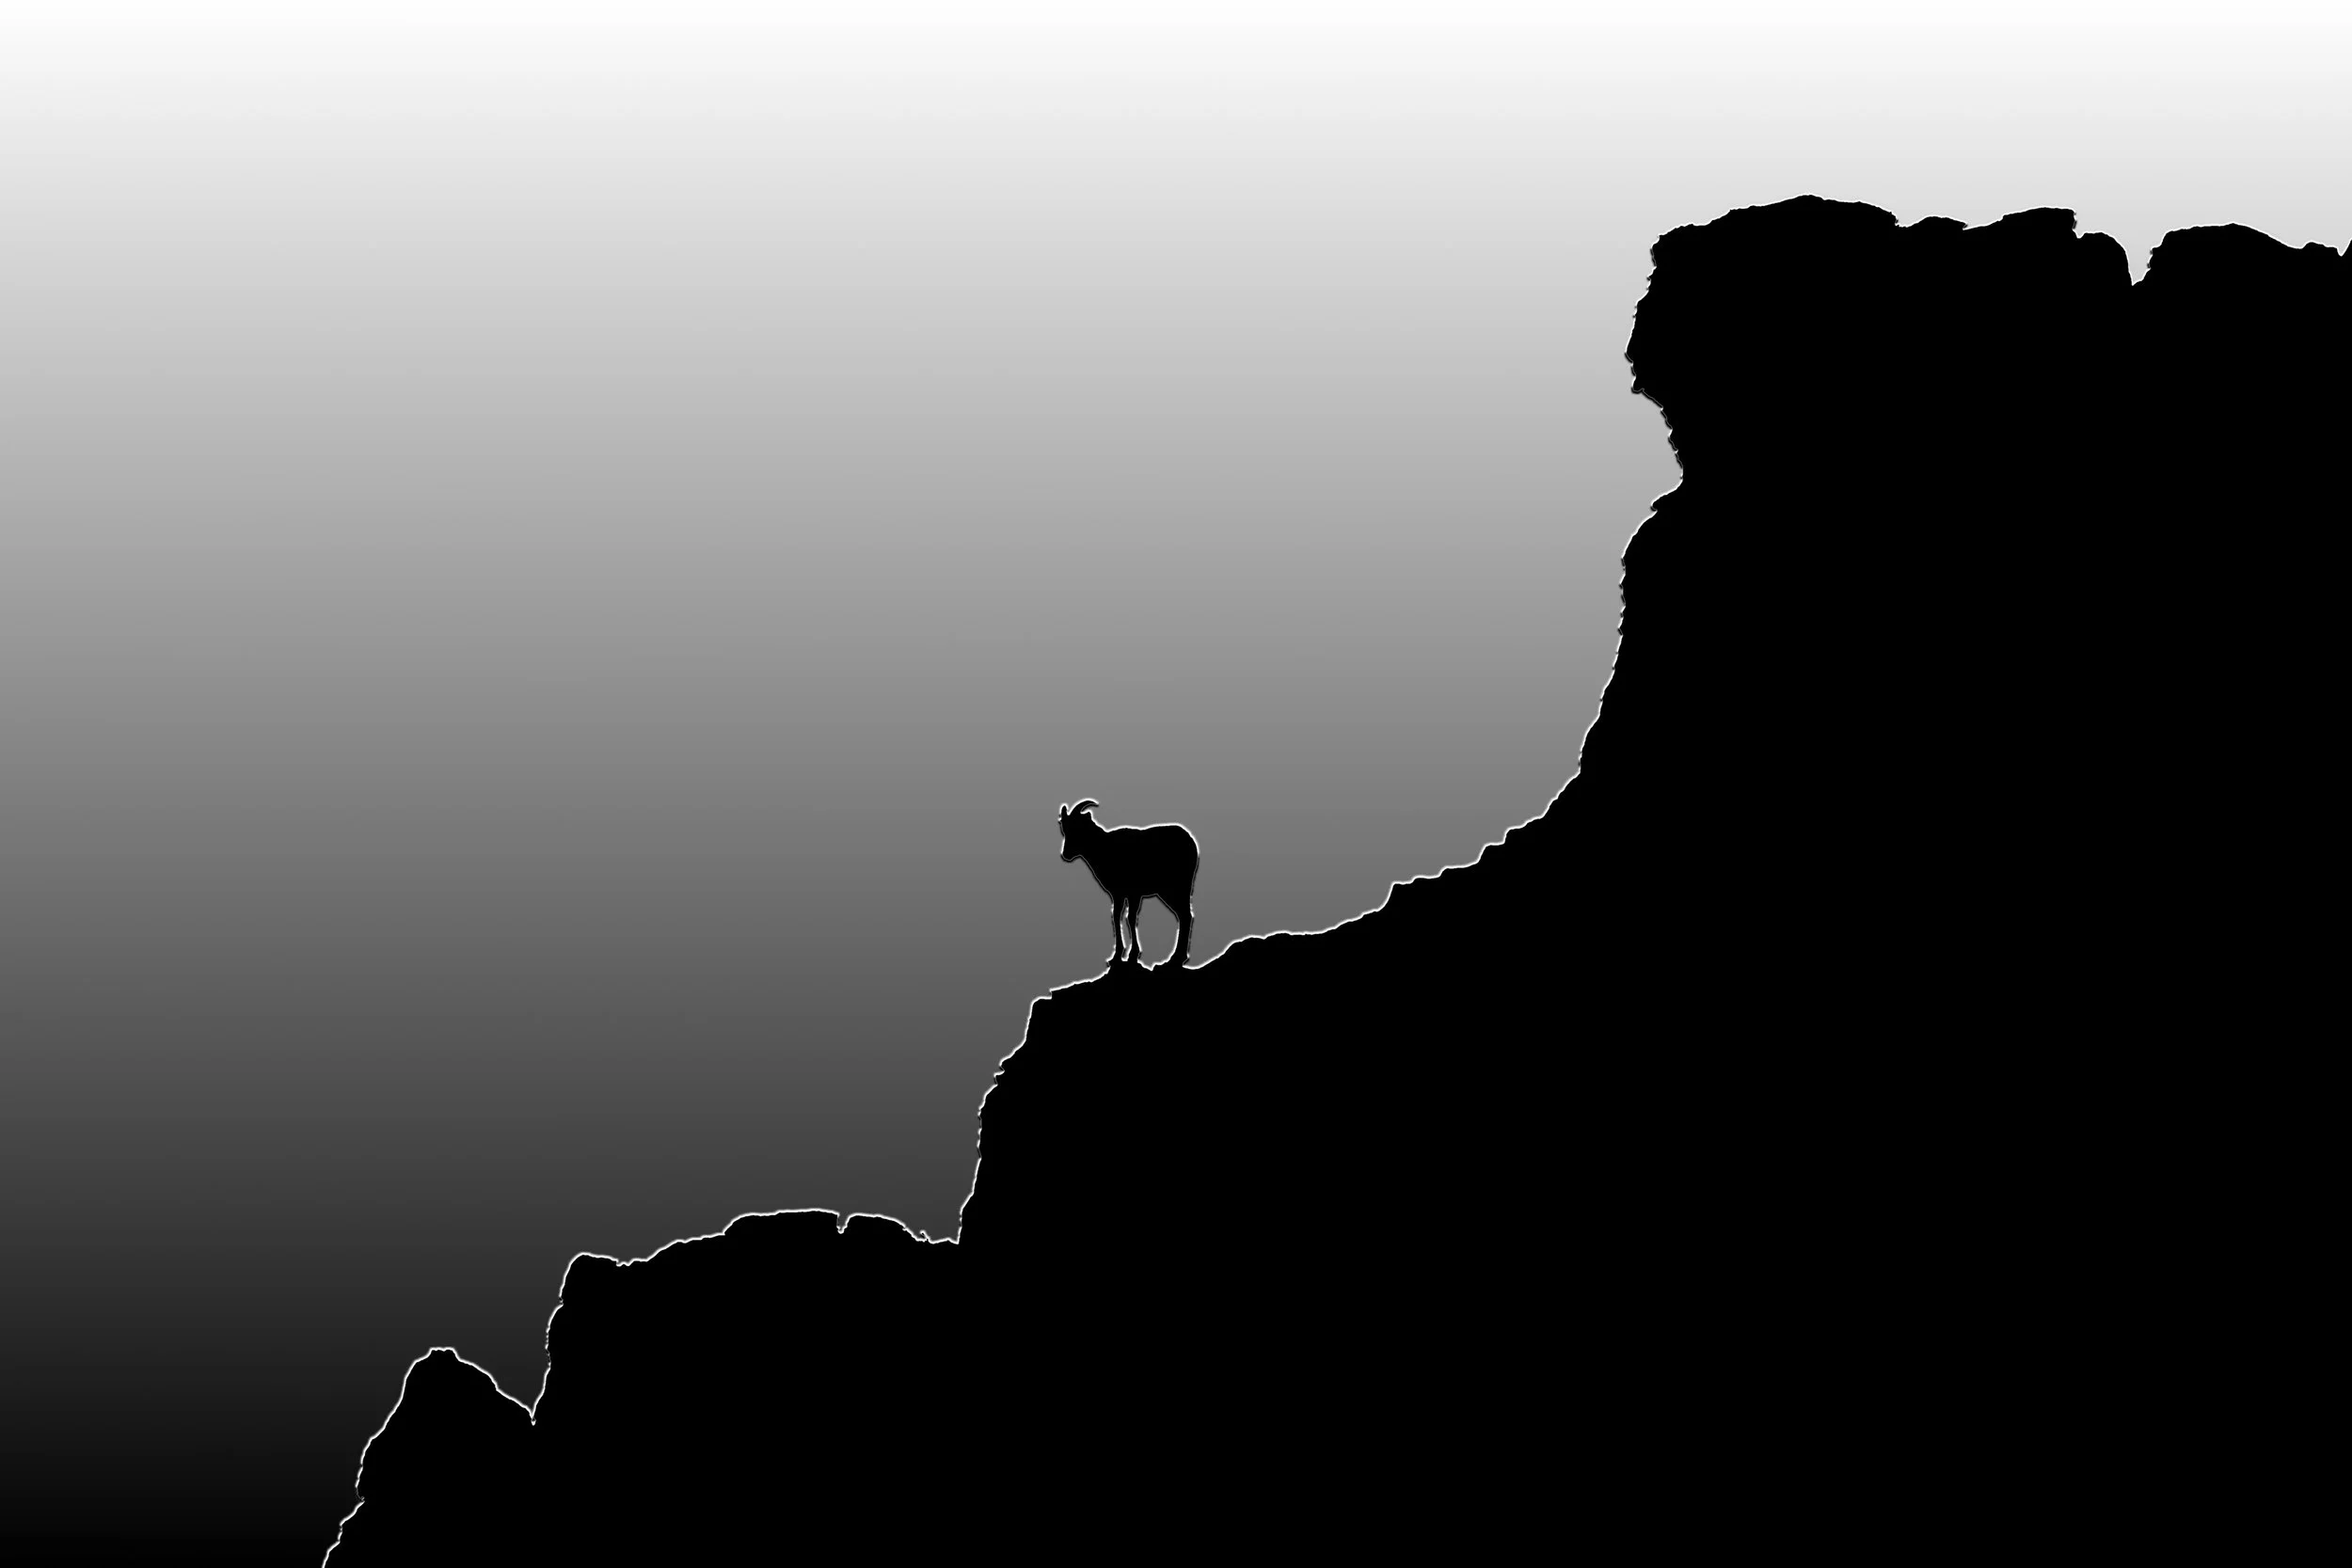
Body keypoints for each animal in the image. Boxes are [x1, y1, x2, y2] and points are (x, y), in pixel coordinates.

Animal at [1056, 799, 1199, 969]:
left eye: (1078, 827)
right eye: (1065, 829)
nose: (1066, 854)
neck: (1104, 849)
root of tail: (1192, 844)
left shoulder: (1134, 893)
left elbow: (1130, 918)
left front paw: (1133, 955)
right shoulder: (1118, 893)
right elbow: (1116, 916)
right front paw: (1116, 956)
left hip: (1177, 888)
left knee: (1185, 915)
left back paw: (1176, 958)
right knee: (1183, 915)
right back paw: (1176, 958)